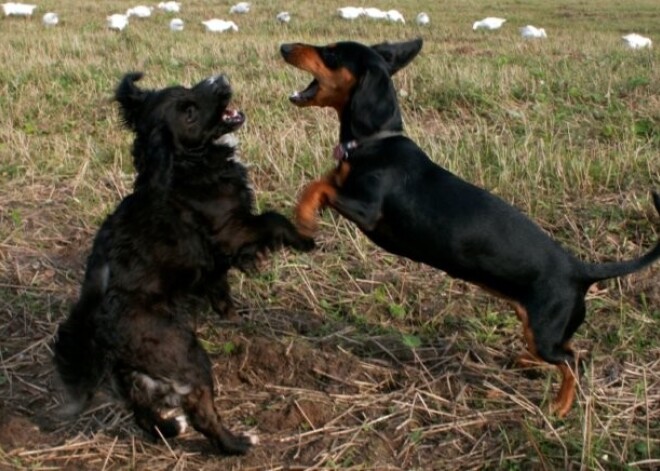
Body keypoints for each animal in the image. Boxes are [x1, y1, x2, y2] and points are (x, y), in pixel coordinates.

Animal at [52, 72, 314, 456]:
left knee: (141, 413)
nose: (219, 80)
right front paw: (305, 240)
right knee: (202, 413)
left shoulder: (213, 264)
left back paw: (170, 428)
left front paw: (233, 317)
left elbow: (221, 290)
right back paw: (238, 443)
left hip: (134, 377)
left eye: (189, 88)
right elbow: (272, 219)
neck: (184, 166)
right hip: (187, 356)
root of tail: (98, 325)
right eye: (188, 113)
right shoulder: (231, 230)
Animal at [282, 39, 660, 416]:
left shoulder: (367, 210)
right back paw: (526, 363)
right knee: (565, 351)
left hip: (544, 331)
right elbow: (324, 180)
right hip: (535, 325)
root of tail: (581, 270)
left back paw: (561, 406)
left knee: (572, 360)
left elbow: (318, 187)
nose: (285, 47)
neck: (377, 140)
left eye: (331, 53)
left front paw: (304, 218)